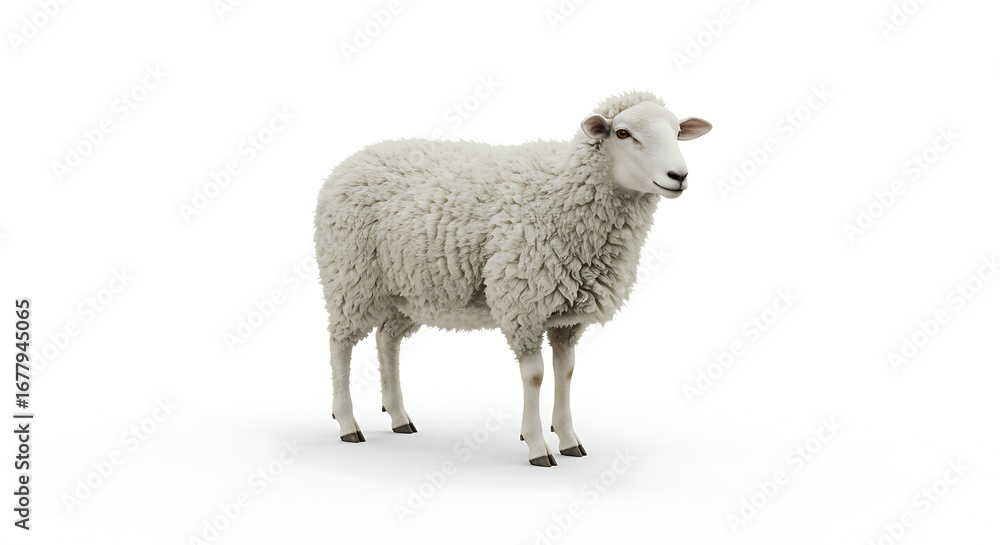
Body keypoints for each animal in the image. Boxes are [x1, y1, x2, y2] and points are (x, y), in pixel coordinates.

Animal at [314, 91, 712, 466]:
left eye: (676, 131)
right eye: (623, 133)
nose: (679, 176)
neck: (564, 192)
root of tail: (350, 161)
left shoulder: (567, 316)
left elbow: (566, 371)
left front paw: (568, 439)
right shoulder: (523, 303)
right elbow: (535, 375)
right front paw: (537, 445)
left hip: (408, 290)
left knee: (387, 339)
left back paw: (398, 416)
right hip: (350, 276)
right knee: (339, 344)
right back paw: (347, 422)